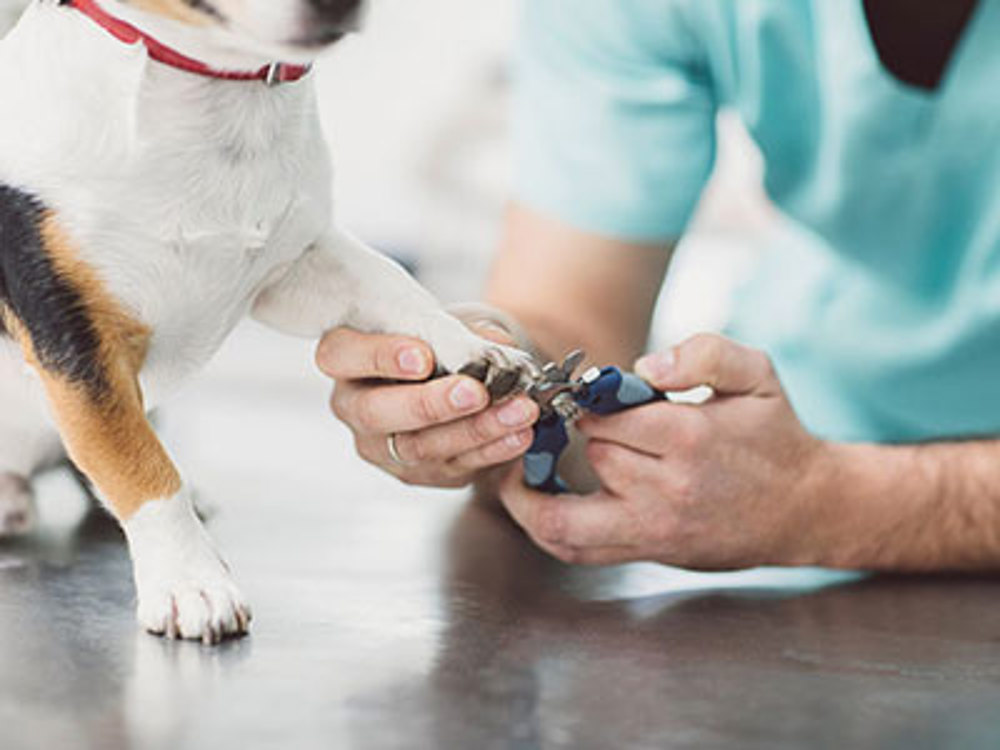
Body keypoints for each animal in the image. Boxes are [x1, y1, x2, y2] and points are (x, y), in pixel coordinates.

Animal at [0, 0, 536, 648]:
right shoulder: (76, 335)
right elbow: (136, 462)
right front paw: (191, 583)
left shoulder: (296, 267)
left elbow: (390, 282)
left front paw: (467, 344)